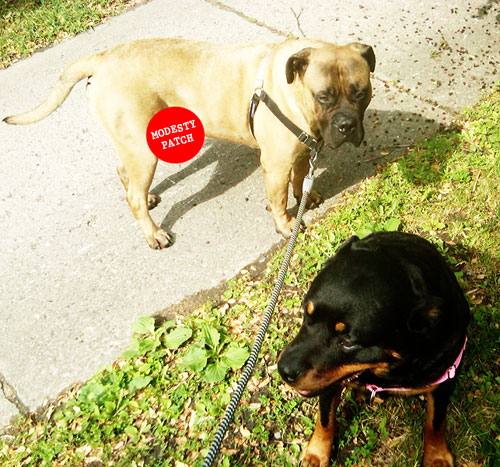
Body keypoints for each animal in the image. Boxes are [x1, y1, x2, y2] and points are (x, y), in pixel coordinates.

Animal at [1, 38, 374, 250]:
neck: (290, 88)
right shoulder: (277, 163)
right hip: (144, 151)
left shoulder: (299, 153)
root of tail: (103, 57)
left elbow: (300, 180)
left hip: (135, 143)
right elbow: (279, 199)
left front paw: (306, 196)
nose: (346, 125)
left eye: (360, 92)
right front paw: (285, 225)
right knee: (133, 196)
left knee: (124, 173)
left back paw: (149, 199)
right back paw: (153, 233)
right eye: (323, 96)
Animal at [278, 233, 468, 467]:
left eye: (348, 342)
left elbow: (435, 422)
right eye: (306, 314)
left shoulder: (446, 376)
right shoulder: (328, 381)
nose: (284, 369)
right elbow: (325, 419)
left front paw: (437, 457)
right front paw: (316, 454)